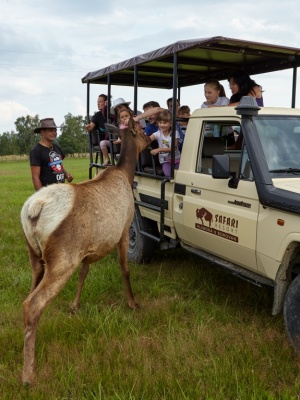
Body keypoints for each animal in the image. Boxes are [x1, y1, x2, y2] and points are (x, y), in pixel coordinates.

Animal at [19, 122, 151, 384]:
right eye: (141, 130)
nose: (150, 140)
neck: (125, 174)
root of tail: (33, 209)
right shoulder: (124, 228)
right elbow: (125, 269)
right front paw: (132, 303)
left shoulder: (87, 249)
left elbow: (84, 274)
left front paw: (74, 305)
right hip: (62, 258)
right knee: (33, 304)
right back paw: (29, 373)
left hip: (35, 257)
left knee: (28, 296)